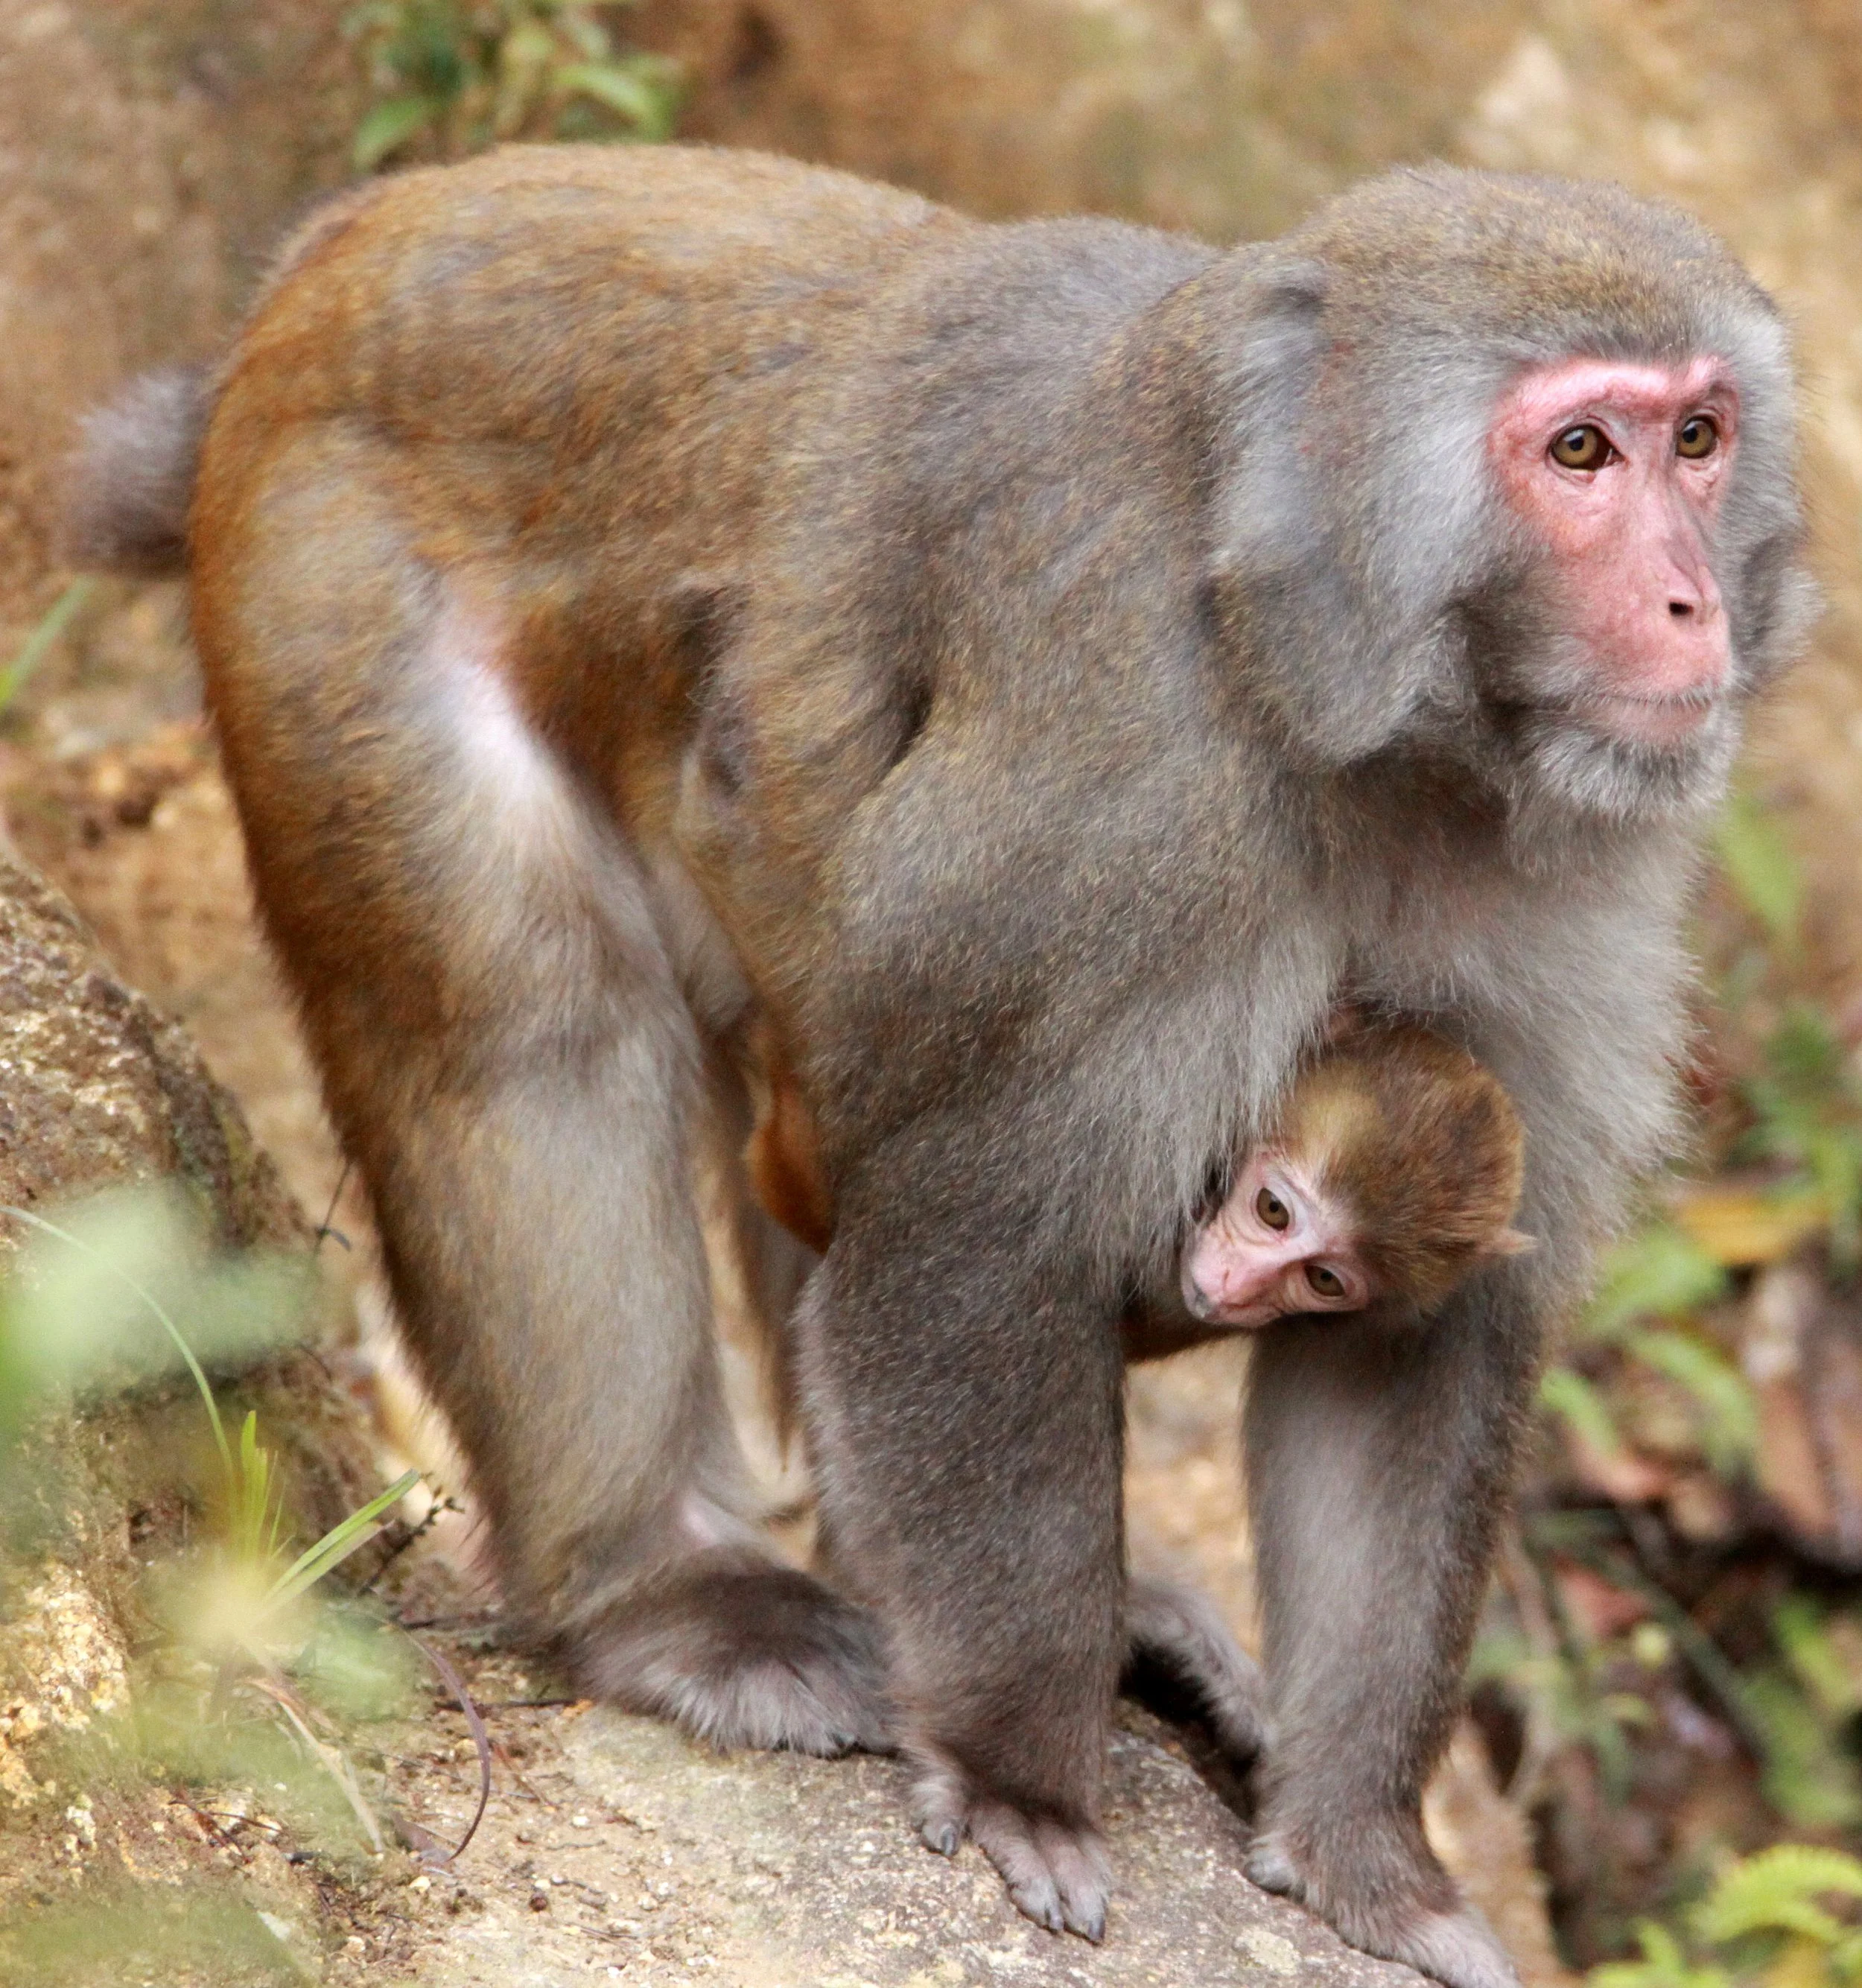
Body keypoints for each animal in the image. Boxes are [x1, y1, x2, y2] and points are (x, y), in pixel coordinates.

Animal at [64, 147, 1810, 1986]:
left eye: (1699, 437)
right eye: (1579, 452)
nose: (1691, 600)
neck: (1377, 727)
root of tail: (340, 250)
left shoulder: (1558, 874)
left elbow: (1407, 1339)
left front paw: (1363, 1858)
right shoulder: (1122, 806)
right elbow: (973, 1247)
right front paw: (1021, 1780)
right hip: (324, 563)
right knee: (526, 1025)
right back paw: (664, 1591)